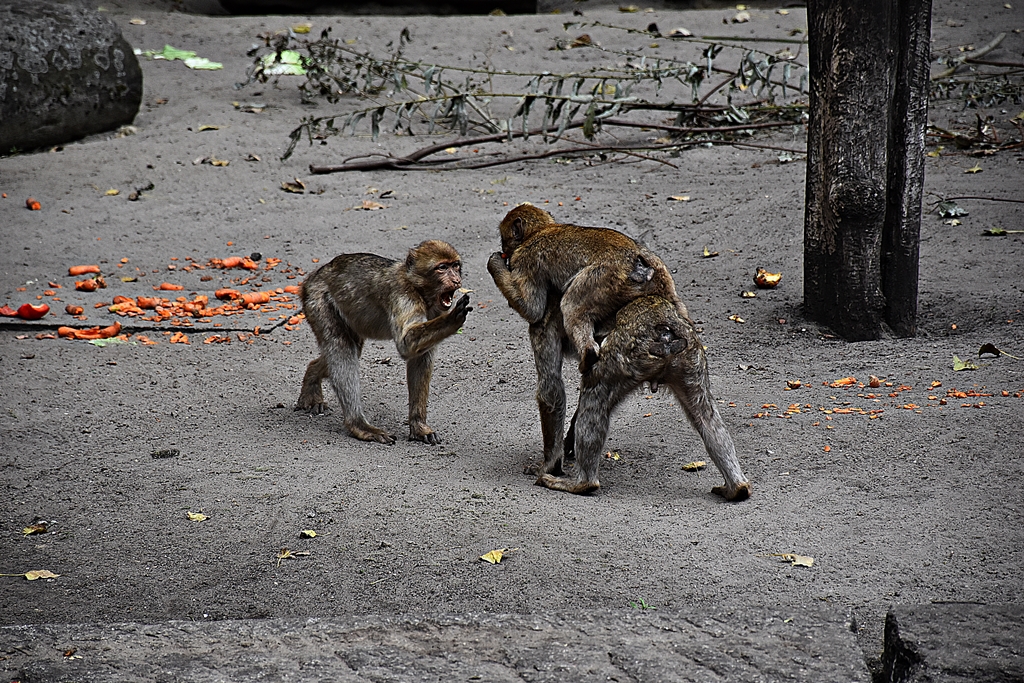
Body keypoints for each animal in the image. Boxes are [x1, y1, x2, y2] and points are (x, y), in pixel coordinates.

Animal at [296, 239, 471, 445]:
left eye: (455, 266)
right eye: (442, 268)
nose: (456, 280)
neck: (418, 287)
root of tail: (313, 276)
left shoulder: (434, 310)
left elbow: (421, 356)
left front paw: (418, 425)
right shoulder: (402, 294)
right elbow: (406, 344)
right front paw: (452, 319)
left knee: (349, 350)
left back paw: (312, 376)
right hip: (318, 301)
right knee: (341, 348)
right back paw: (358, 425)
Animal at [486, 203, 688, 374]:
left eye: (504, 238)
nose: (503, 248)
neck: (539, 231)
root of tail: (638, 264)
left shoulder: (524, 259)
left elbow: (533, 310)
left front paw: (494, 263)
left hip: (601, 279)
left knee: (571, 305)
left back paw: (588, 355)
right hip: (658, 272)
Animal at [537, 295, 751, 501]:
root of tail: (665, 333)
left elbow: (551, 390)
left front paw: (550, 464)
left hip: (623, 356)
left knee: (595, 397)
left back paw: (583, 484)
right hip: (690, 357)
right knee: (705, 416)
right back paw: (737, 487)